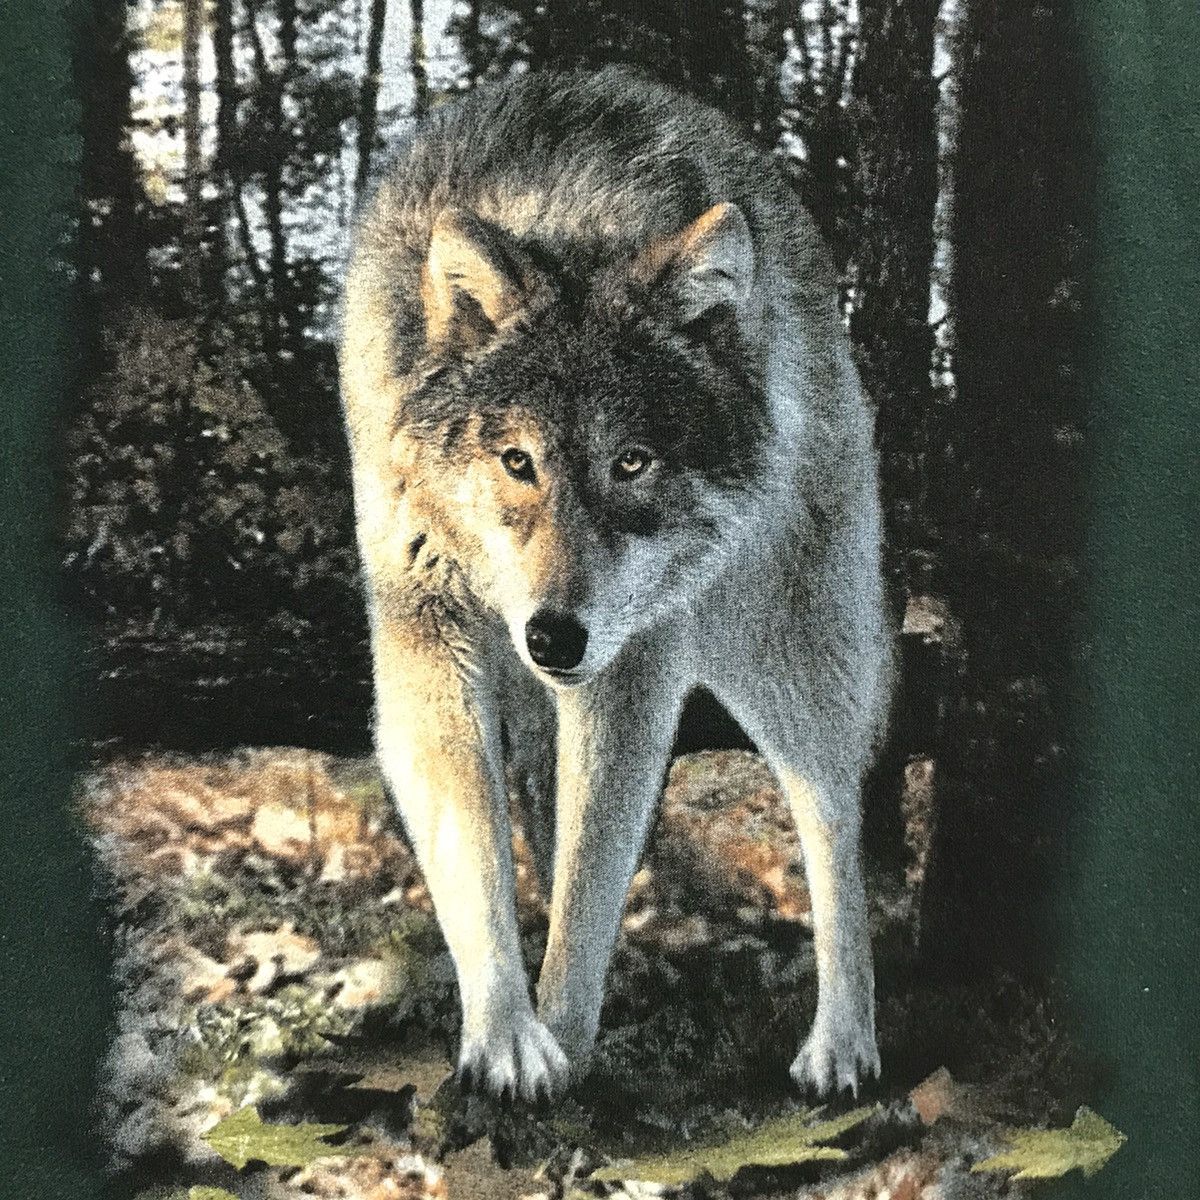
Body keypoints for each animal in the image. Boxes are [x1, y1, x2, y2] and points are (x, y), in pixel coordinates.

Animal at [339, 67, 892, 1103]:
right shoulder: (426, 631)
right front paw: (511, 1038)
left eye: (630, 462)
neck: (567, 218)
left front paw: (560, 1034)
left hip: (790, 652)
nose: (555, 638)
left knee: (831, 813)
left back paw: (842, 1045)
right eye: (517, 461)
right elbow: (480, 852)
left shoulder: (634, 664)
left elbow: (594, 867)